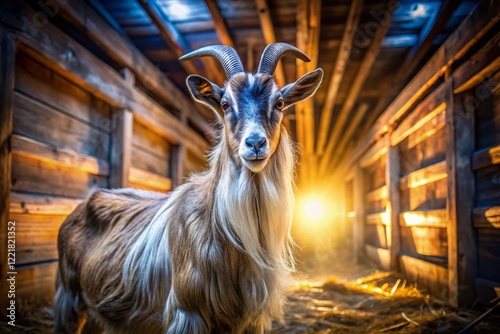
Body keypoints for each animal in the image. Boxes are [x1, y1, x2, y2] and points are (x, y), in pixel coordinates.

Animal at [52, 43, 322, 332]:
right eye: (225, 104)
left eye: (279, 103)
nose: (255, 144)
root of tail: (77, 209)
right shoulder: (187, 310)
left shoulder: (252, 319)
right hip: (68, 296)